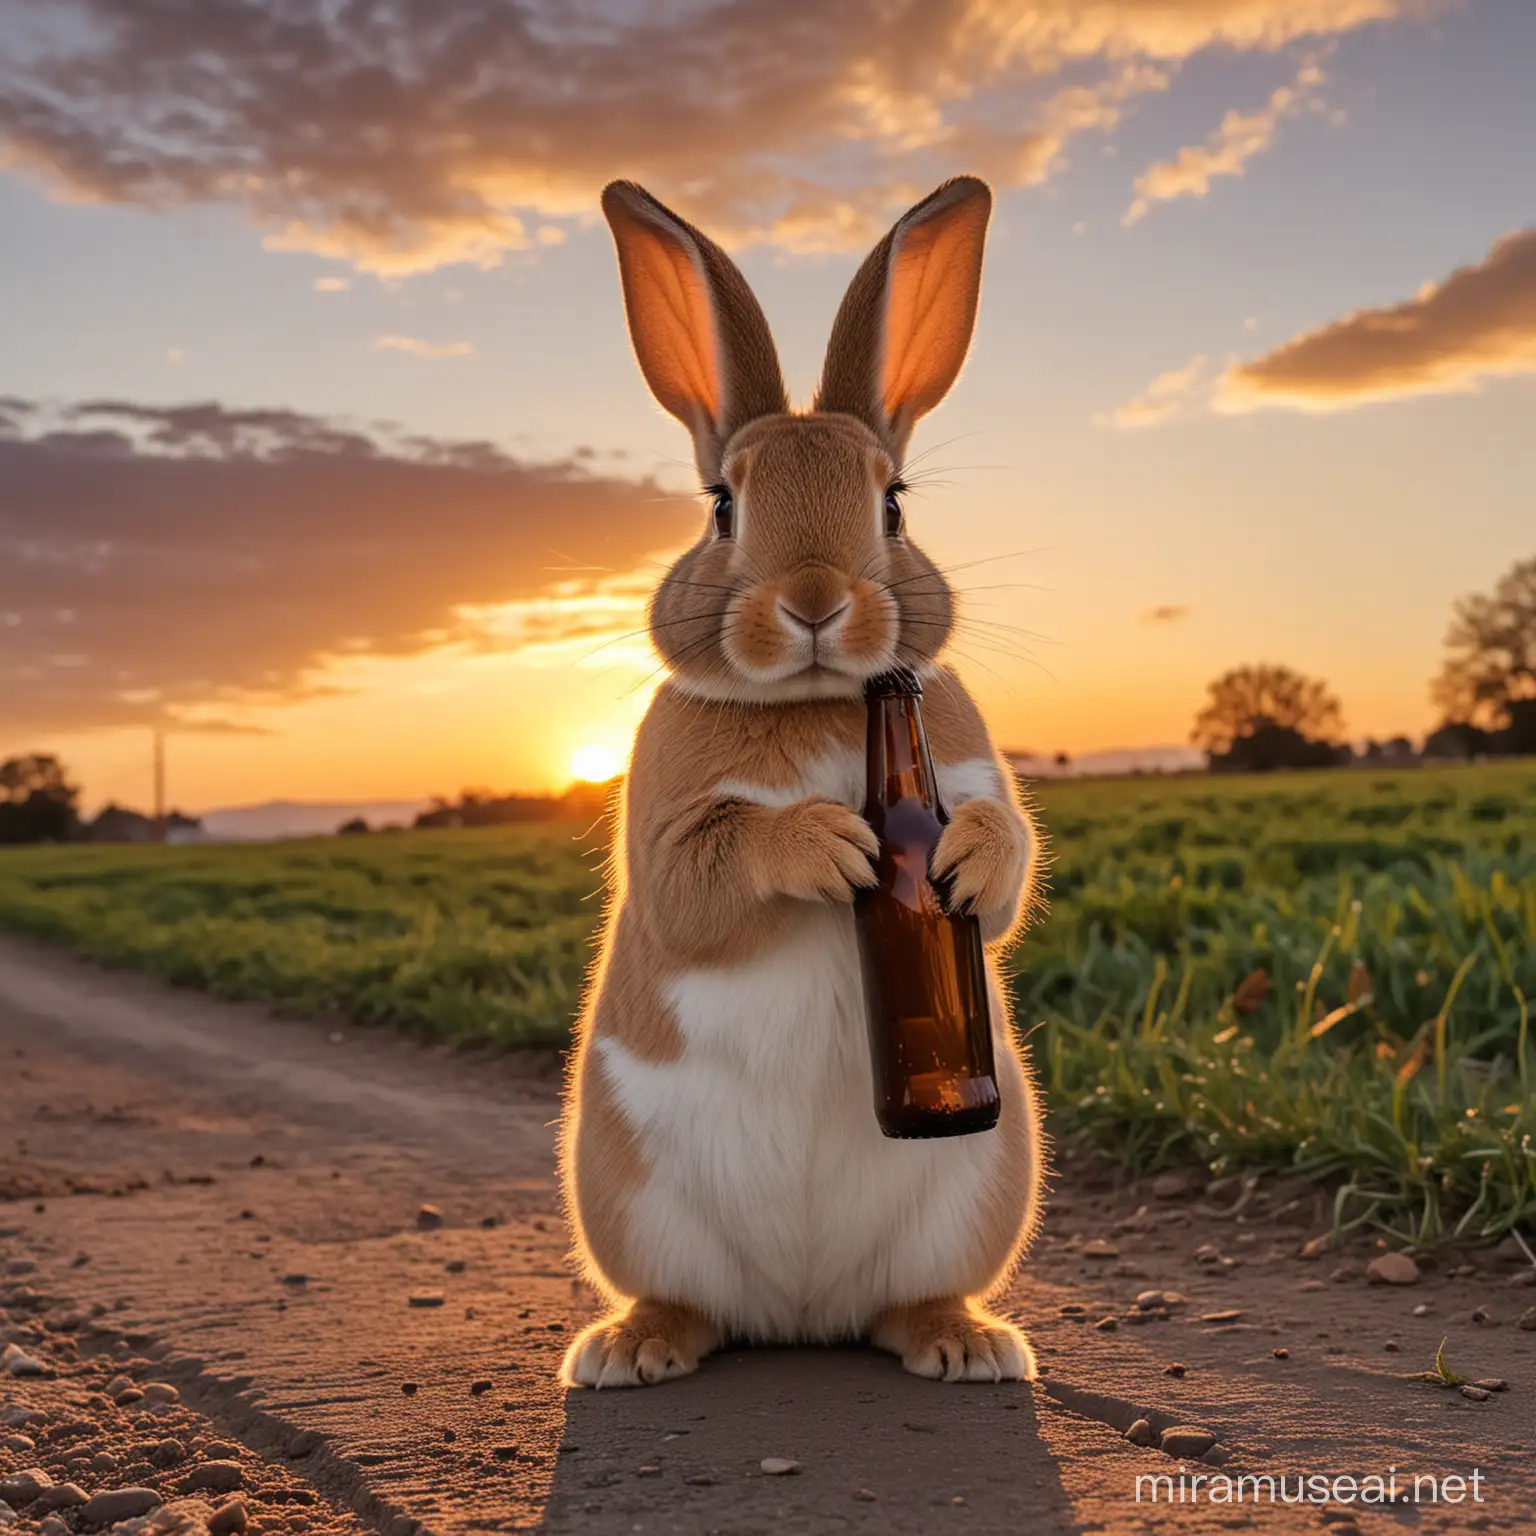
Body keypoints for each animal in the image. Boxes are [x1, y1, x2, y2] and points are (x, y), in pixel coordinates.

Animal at [559, 174, 1050, 1388]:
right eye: (722, 506)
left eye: (895, 502)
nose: (818, 600)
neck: (825, 700)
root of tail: (801, 1312)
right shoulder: (668, 840)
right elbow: (706, 878)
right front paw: (827, 845)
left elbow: (1005, 869)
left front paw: (964, 857)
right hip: (630, 1201)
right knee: (689, 1302)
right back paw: (633, 1349)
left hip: (981, 1181)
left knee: (905, 1301)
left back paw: (963, 1342)